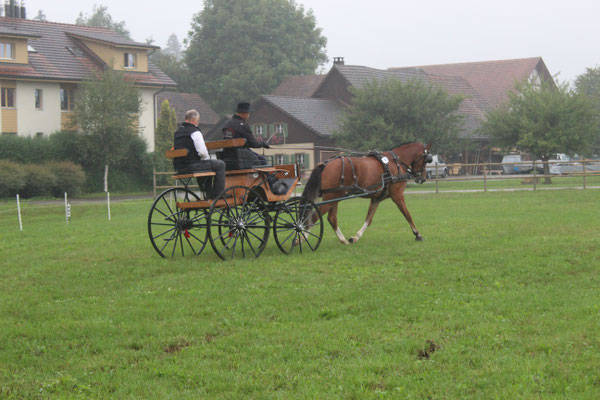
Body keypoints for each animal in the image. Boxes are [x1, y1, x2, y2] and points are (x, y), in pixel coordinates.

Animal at [302, 142, 434, 245]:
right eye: (426, 160)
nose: (422, 178)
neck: (395, 162)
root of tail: (325, 164)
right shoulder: (397, 195)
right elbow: (407, 215)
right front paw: (418, 235)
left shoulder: (376, 199)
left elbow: (368, 220)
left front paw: (355, 237)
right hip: (331, 198)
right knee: (314, 217)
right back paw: (301, 238)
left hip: (334, 198)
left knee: (331, 218)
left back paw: (343, 240)